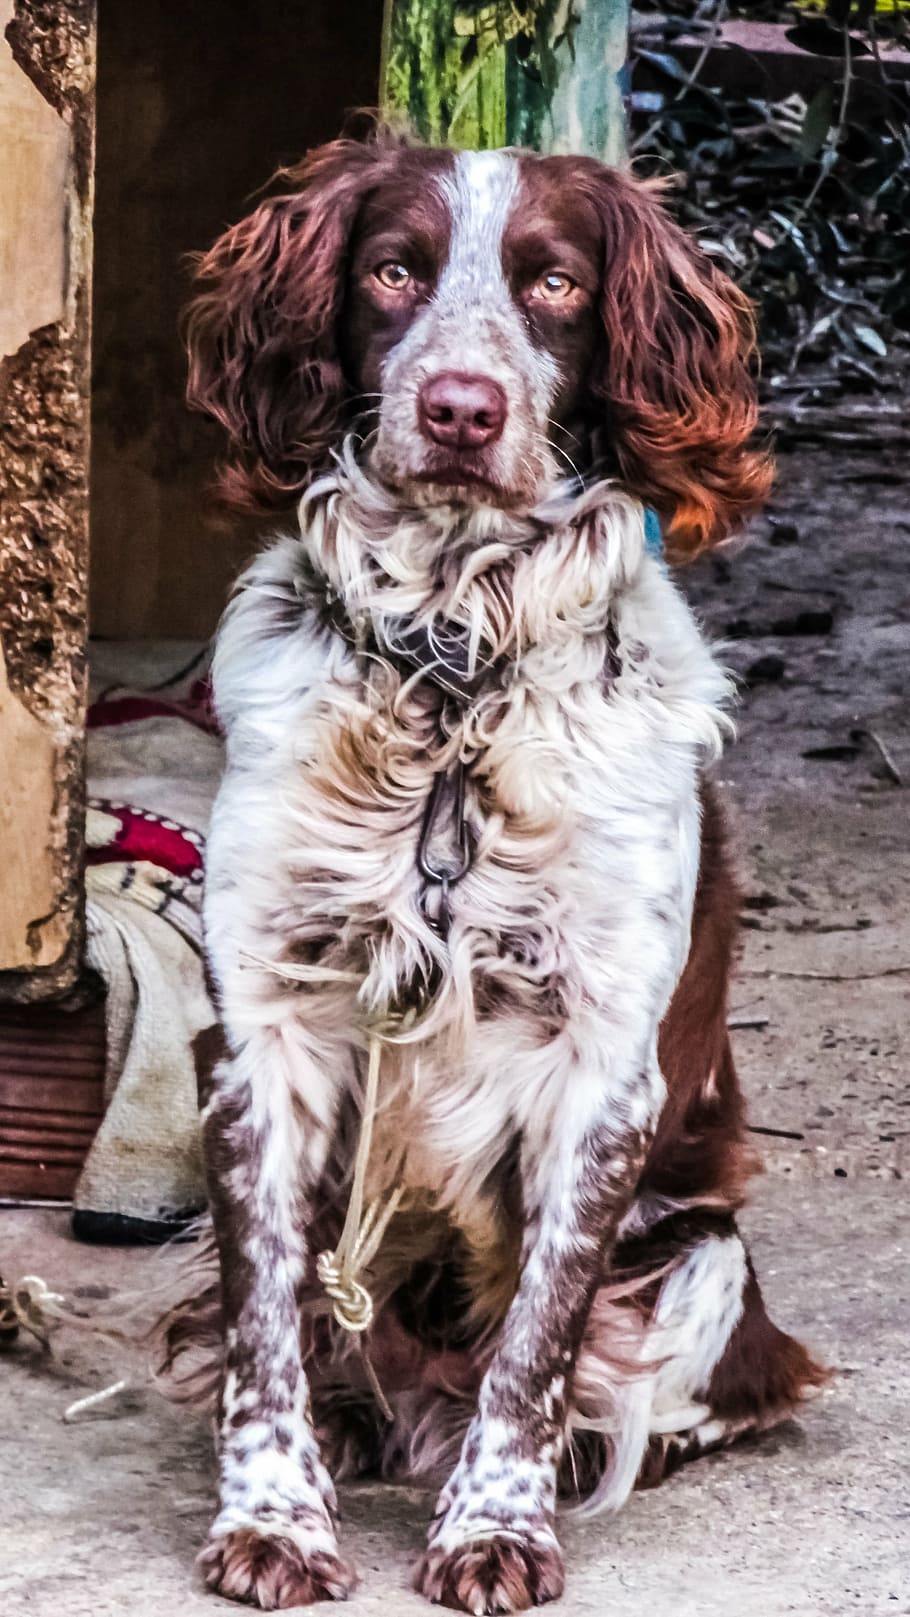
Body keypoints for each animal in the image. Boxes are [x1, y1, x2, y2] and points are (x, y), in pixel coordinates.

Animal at [180, 129, 827, 1617]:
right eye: (392, 269)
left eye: (553, 285)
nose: (463, 410)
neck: (452, 665)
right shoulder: (261, 1033)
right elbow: (261, 1324)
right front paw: (275, 1520)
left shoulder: (604, 1069)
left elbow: (537, 1342)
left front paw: (493, 1526)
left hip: (704, 1257)